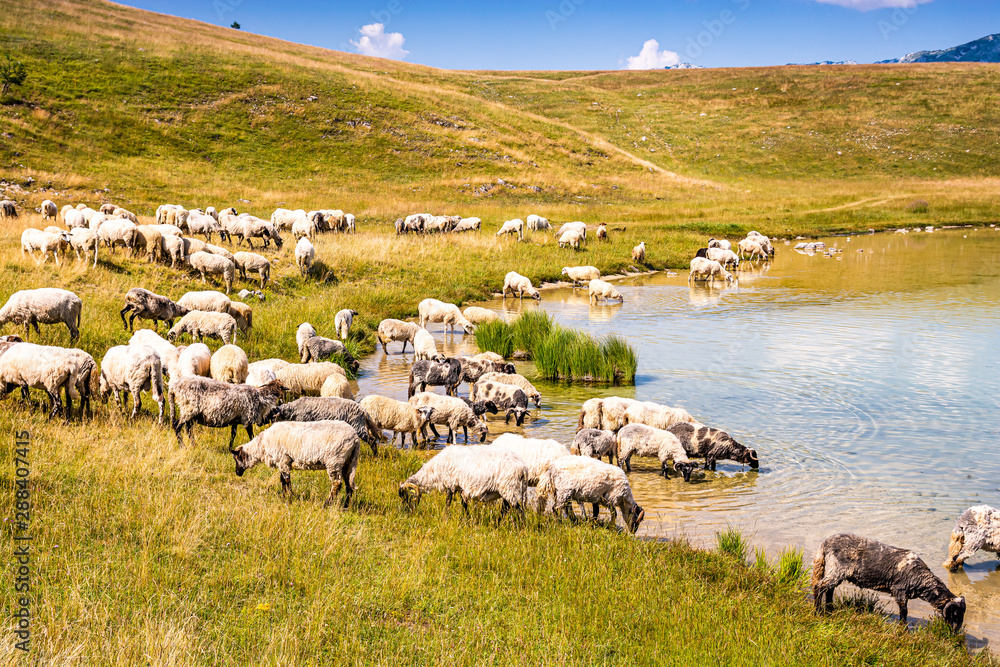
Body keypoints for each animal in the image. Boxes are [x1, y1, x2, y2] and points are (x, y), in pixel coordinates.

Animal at [398, 445, 528, 516]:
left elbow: (450, 501)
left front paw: (448, 517)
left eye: (407, 497)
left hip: (509, 488)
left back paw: (521, 528)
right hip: (507, 490)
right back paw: (498, 524)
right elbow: (461, 503)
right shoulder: (459, 487)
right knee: (505, 509)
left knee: (519, 511)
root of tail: (523, 467)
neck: (434, 471)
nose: (406, 512)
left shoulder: (452, 484)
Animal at [812, 533, 966, 633]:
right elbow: (904, 612)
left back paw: (830, 608)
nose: (955, 633)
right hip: (838, 568)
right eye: (955, 614)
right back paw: (818, 612)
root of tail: (824, 543)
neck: (921, 579)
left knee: (829, 589)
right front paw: (904, 629)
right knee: (820, 586)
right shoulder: (899, 591)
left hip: (836, 570)